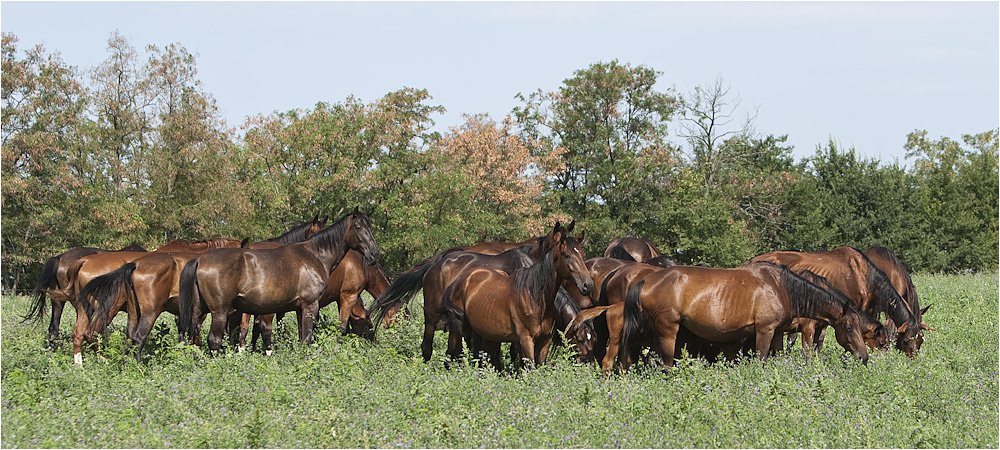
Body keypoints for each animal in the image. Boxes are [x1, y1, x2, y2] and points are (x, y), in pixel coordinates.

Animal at [178, 209, 380, 354]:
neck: (314, 255)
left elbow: (301, 337)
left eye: (371, 228)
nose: (374, 254)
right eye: (358, 228)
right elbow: (307, 338)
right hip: (219, 312)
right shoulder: (310, 305)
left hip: (197, 311)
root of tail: (199, 259)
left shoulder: (299, 309)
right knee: (214, 340)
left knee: (189, 335)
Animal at [438, 223, 592, 370]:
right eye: (567, 255)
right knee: (452, 352)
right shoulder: (525, 338)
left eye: (583, 254)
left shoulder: (542, 340)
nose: (588, 284)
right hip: (457, 327)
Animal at [612, 262, 872, 370]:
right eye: (849, 328)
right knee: (665, 363)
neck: (781, 287)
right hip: (668, 332)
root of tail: (646, 281)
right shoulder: (765, 330)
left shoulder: (778, 333)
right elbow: (761, 358)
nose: (864, 357)